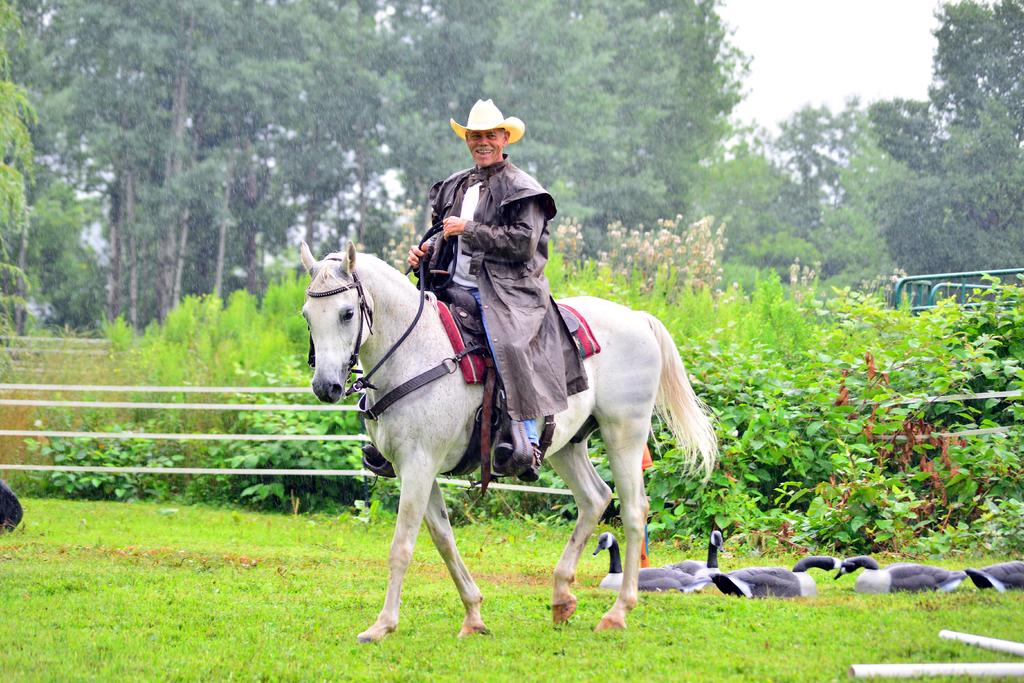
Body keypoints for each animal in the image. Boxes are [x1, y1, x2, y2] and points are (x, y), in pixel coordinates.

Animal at [300, 241, 717, 642]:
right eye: (307, 315)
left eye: (347, 313)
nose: (326, 386)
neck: (415, 351)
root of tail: (637, 318)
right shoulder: (415, 469)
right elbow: (444, 539)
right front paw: (473, 615)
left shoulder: (419, 465)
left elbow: (402, 546)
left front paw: (382, 625)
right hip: (568, 446)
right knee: (595, 498)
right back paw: (561, 597)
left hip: (624, 433)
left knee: (633, 511)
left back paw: (617, 612)